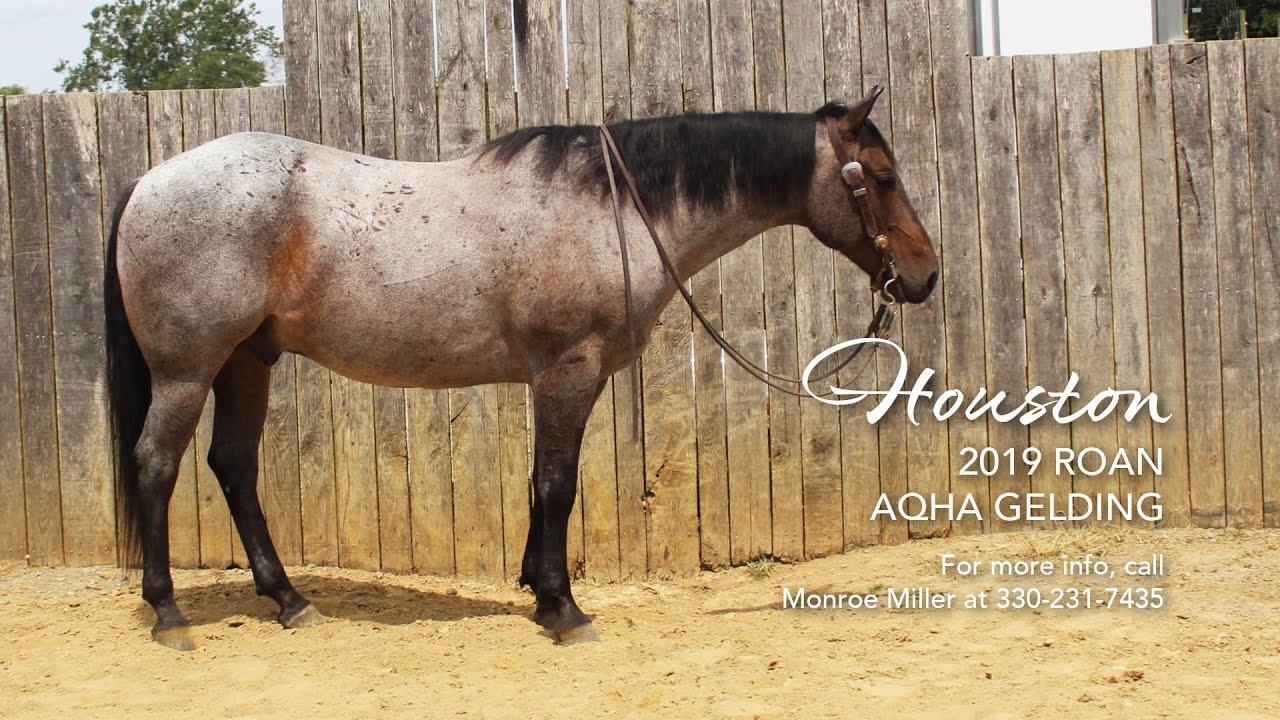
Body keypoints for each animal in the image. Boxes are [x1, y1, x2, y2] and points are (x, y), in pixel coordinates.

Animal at [104, 87, 938, 650]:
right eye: (882, 174)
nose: (925, 276)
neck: (612, 209)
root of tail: (148, 181)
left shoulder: (563, 378)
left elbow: (542, 482)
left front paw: (539, 592)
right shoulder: (567, 370)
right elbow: (557, 484)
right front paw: (564, 609)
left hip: (247, 361)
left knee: (234, 467)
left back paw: (288, 600)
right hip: (188, 370)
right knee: (156, 465)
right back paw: (169, 611)